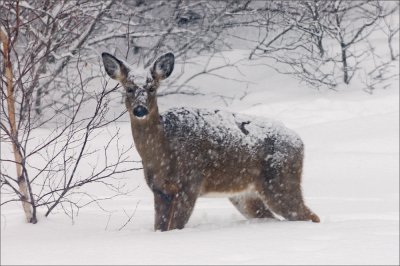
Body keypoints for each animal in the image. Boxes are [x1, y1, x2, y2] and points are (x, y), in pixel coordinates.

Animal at [101, 51, 320, 231]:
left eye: (152, 88)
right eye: (129, 88)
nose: (140, 110)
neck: (162, 149)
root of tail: (300, 142)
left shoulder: (190, 183)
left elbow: (174, 227)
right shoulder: (159, 190)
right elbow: (160, 228)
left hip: (280, 181)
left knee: (309, 216)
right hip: (244, 194)